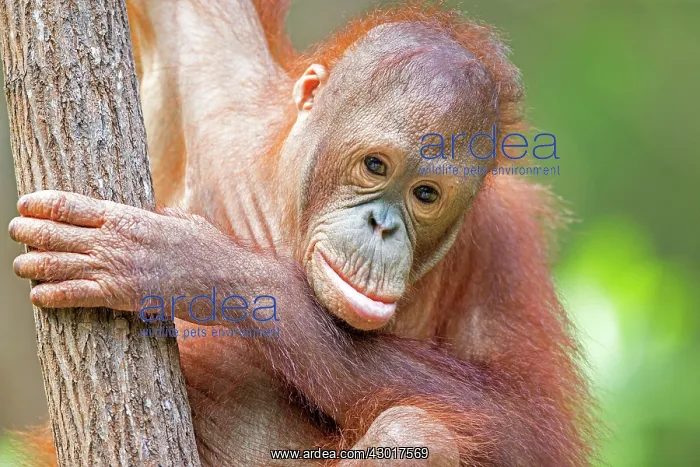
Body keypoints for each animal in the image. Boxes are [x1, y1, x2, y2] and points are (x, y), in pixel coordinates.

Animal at [8, 1, 596, 465]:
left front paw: (184, 262)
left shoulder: (502, 242)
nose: (382, 226)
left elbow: (524, 422)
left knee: (419, 430)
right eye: (375, 166)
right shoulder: (208, 61)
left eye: (425, 194)